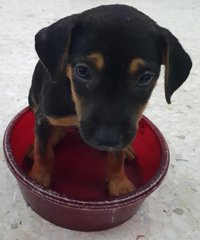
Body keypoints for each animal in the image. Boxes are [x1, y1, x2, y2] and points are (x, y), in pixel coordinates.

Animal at [27, 4, 192, 196]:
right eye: (82, 71)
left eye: (145, 78)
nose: (107, 139)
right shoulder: (44, 117)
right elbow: (43, 152)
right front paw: (38, 180)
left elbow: (116, 158)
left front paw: (119, 184)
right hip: (33, 99)